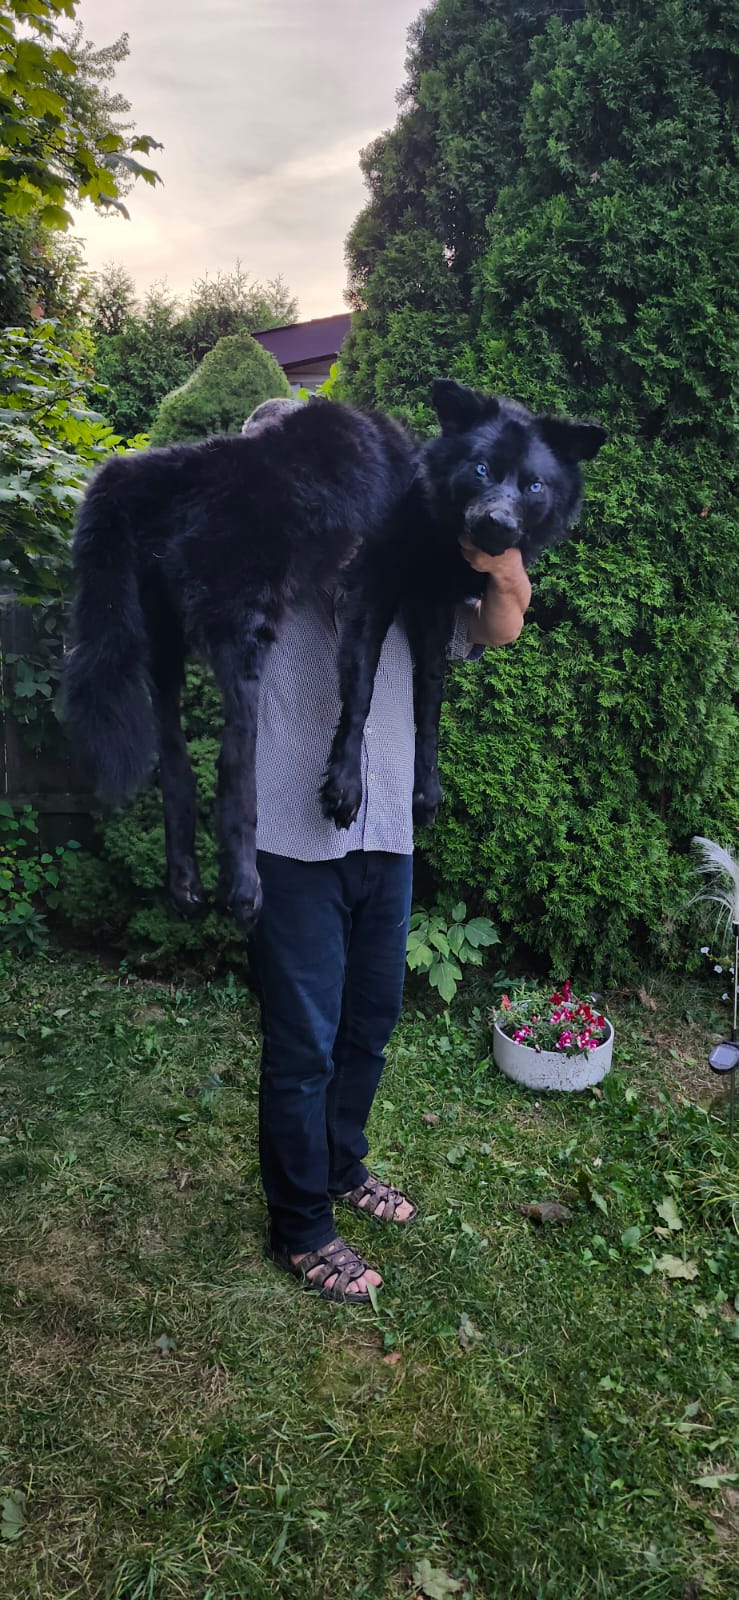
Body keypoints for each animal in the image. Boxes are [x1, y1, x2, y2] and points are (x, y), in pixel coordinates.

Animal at [64, 380, 605, 930]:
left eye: (534, 486)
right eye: (481, 469)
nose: (497, 524)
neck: (425, 495)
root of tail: (156, 468)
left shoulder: (433, 611)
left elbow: (429, 704)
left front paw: (425, 792)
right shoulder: (375, 589)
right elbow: (362, 691)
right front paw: (346, 786)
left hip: (162, 647)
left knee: (176, 767)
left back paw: (183, 881)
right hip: (243, 633)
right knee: (233, 760)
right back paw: (242, 885)